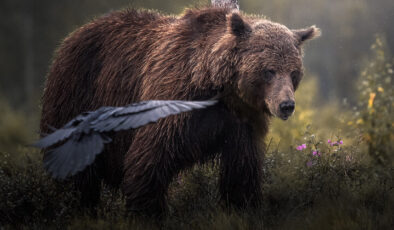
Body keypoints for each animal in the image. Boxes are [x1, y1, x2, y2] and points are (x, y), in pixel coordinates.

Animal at [39, 6, 320, 217]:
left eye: (294, 72)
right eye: (269, 70)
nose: (286, 105)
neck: (215, 86)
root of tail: (72, 36)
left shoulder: (239, 123)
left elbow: (242, 170)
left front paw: (243, 206)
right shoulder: (172, 100)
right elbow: (150, 158)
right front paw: (147, 211)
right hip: (77, 95)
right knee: (75, 166)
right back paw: (77, 205)